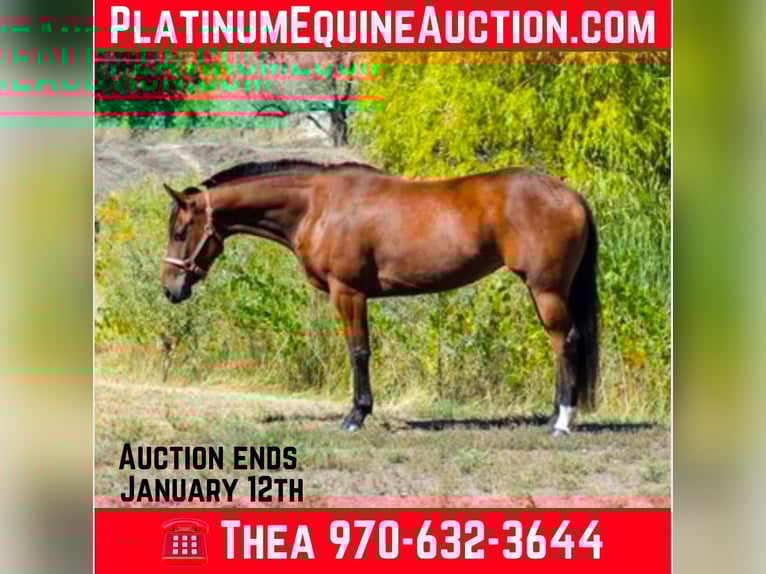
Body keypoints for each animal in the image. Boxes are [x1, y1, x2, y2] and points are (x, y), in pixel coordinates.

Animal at [161, 159, 599, 436]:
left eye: (181, 231)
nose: (170, 288)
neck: (317, 205)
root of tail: (571, 195)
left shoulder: (348, 292)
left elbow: (358, 351)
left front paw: (356, 415)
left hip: (546, 289)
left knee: (565, 342)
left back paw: (562, 422)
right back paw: (552, 417)